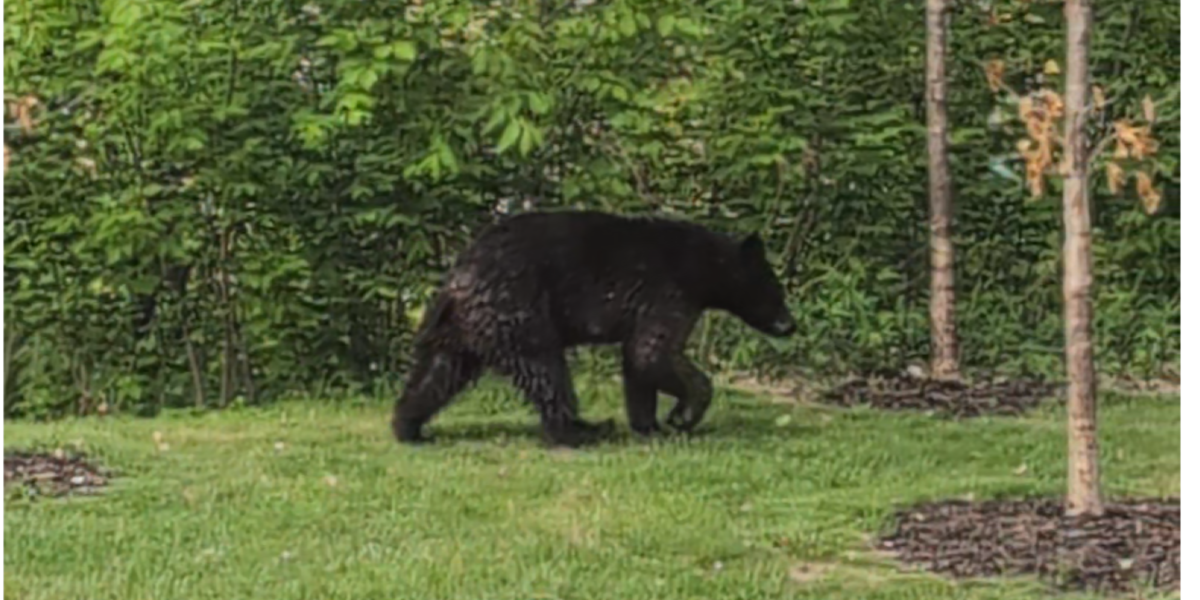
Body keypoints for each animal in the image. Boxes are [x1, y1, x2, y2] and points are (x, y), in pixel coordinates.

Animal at [391, 210, 796, 447]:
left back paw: (409, 428)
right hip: (519, 311)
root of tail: (456, 280)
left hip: (463, 330)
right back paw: (583, 429)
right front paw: (681, 416)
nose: (790, 325)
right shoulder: (669, 293)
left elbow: (638, 362)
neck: (700, 267)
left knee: (437, 373)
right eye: (776, 290)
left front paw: (649, 425)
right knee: (546, 370)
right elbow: (653, 352)